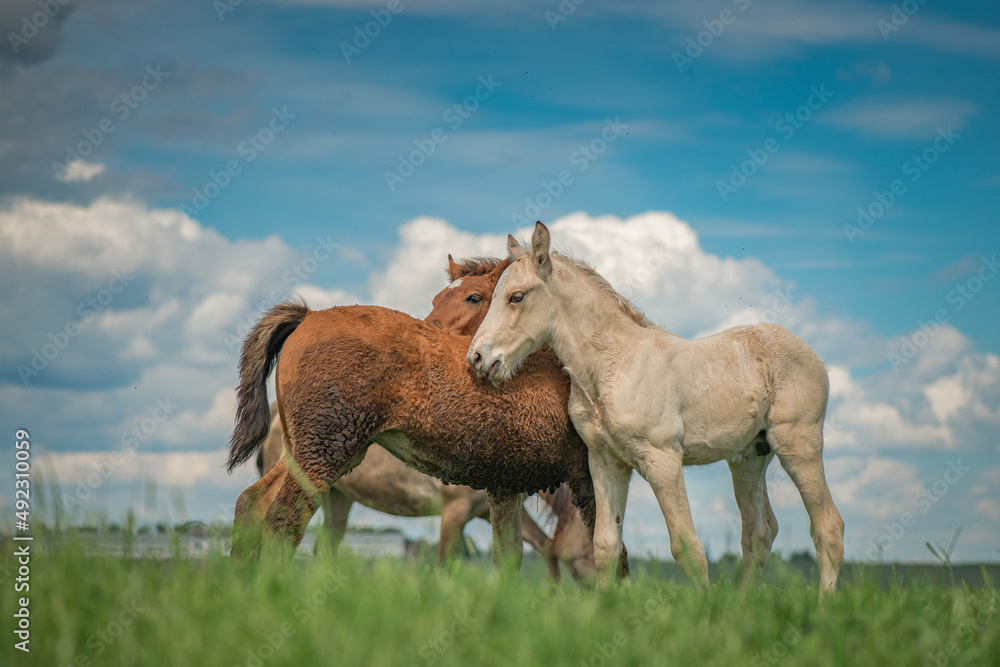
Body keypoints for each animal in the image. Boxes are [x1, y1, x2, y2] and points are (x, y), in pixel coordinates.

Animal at [229, 258, 616, 576]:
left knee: (253, 504)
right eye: (436, 299)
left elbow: (515, 553)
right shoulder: (459, 509)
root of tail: (308, 315)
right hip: (322, 459)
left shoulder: (502, 491)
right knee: (283, 522)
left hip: (316, 463)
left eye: (473, 297)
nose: (430, 327)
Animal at [468, 224, 844, 600]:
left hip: (799, 445)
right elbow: (605, 545)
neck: (612, 366)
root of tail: (814, 357)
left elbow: (686, 547)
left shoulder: (663, 460)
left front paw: (706, 609)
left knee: (828, 526)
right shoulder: (606, 463)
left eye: (517, 297)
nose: (478, 359)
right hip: (749, 457)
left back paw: (823, 604)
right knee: (759, 531)